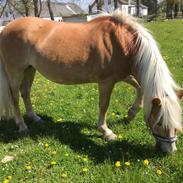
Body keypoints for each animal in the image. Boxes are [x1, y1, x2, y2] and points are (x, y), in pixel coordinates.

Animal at [0, 10, 182, 153]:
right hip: (15, 71)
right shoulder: (106, 81)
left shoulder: (124, 75)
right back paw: (22, 126)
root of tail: (5, 29)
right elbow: (104, 106)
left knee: (25, 93)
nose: (170, 151)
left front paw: (131, 113)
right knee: (15, 98)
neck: (124, 43)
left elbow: (140, 88)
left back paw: (35, 118)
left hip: (30, 69)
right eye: (160, 123)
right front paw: (106, 132)